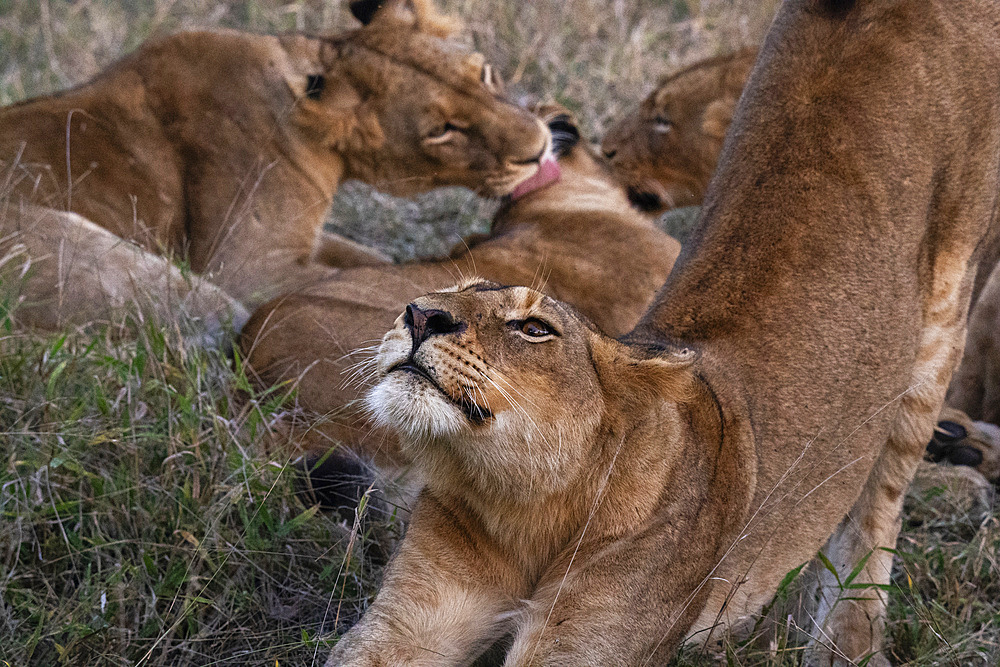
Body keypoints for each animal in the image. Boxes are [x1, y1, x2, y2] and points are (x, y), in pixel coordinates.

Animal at [0, 0, 556, 344]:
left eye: (485, 74)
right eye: (442, 130)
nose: (541, 148)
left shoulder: (304, 238)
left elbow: (369, 258)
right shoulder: (247, 265)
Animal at [326, 2, 1000, 664]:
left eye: (533, 328)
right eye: (452, 291)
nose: (420, 315)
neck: (521, 507)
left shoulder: (584, 646)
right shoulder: (404, 626)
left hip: (946, 306)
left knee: (879, 500)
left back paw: (848, 641)